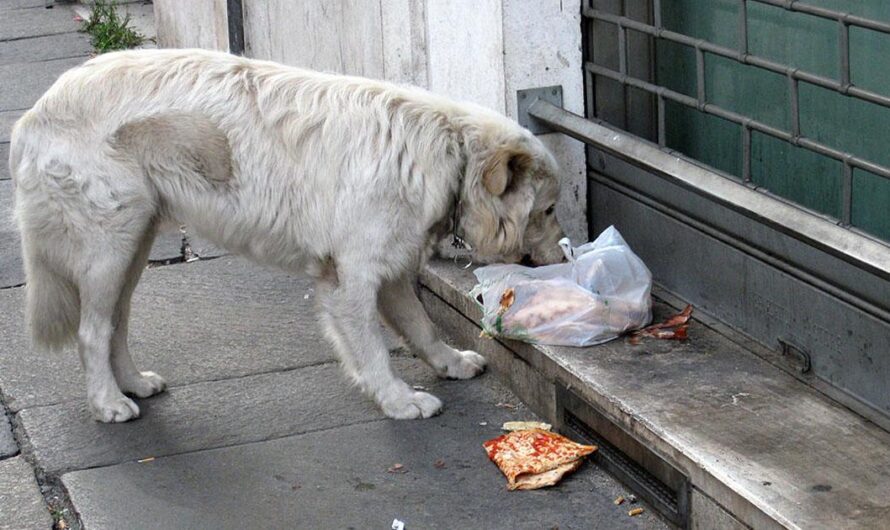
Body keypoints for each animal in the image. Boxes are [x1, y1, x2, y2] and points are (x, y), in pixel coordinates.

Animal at [10, 48, 560, 420]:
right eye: (550, 210)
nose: (560, 258)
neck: (447, 153)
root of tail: (34, 113)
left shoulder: (391, 271)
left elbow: (422, 328)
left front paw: (450, 364)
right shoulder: (351, 280)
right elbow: (376, 349)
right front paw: (398, 400)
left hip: (132, 247)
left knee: (115, 324)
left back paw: (132, 385)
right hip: (109, 247)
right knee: (91, 331)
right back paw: (107, 403)